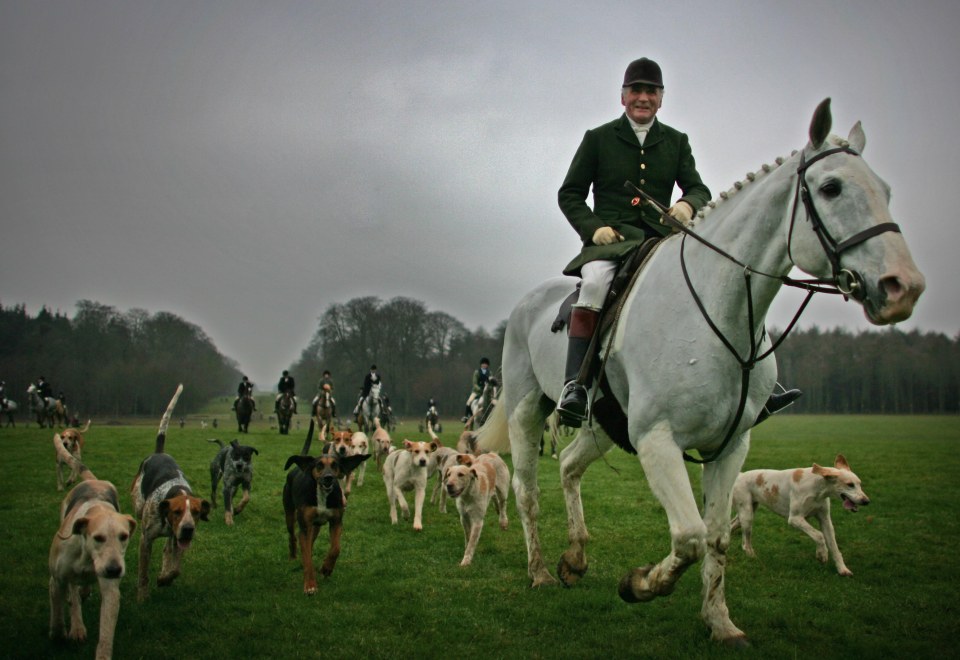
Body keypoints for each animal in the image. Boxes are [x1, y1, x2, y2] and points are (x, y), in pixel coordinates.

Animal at [476, 100, 928, 648]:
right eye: (831, 188)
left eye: (885, 190)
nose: (903, 287)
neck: (720, 310)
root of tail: (528, 302)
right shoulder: (657, 441)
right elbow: (689, 537)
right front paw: (640, 584)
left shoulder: (730, 446)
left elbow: (715, 538)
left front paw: (720, 622)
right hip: (529, 413)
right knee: (528, 491)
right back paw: (540, 571)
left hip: (604, 425)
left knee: (568, 467)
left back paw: (575, 559)